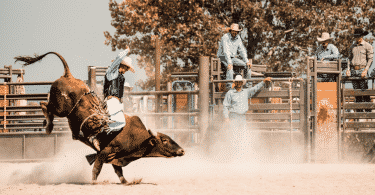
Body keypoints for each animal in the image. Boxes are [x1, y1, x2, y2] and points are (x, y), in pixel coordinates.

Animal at [14, 52, 185, 184]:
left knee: (45, 104)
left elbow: (119, 172)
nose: (182, 150)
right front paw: (94, 182)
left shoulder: (115, 156)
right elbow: (97, 168)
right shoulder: (105, 152)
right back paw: (49, 126)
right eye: (164, 140)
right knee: (44, 105)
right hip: (61, 108)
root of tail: (69, 75)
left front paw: (128, 182)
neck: (134, 136)